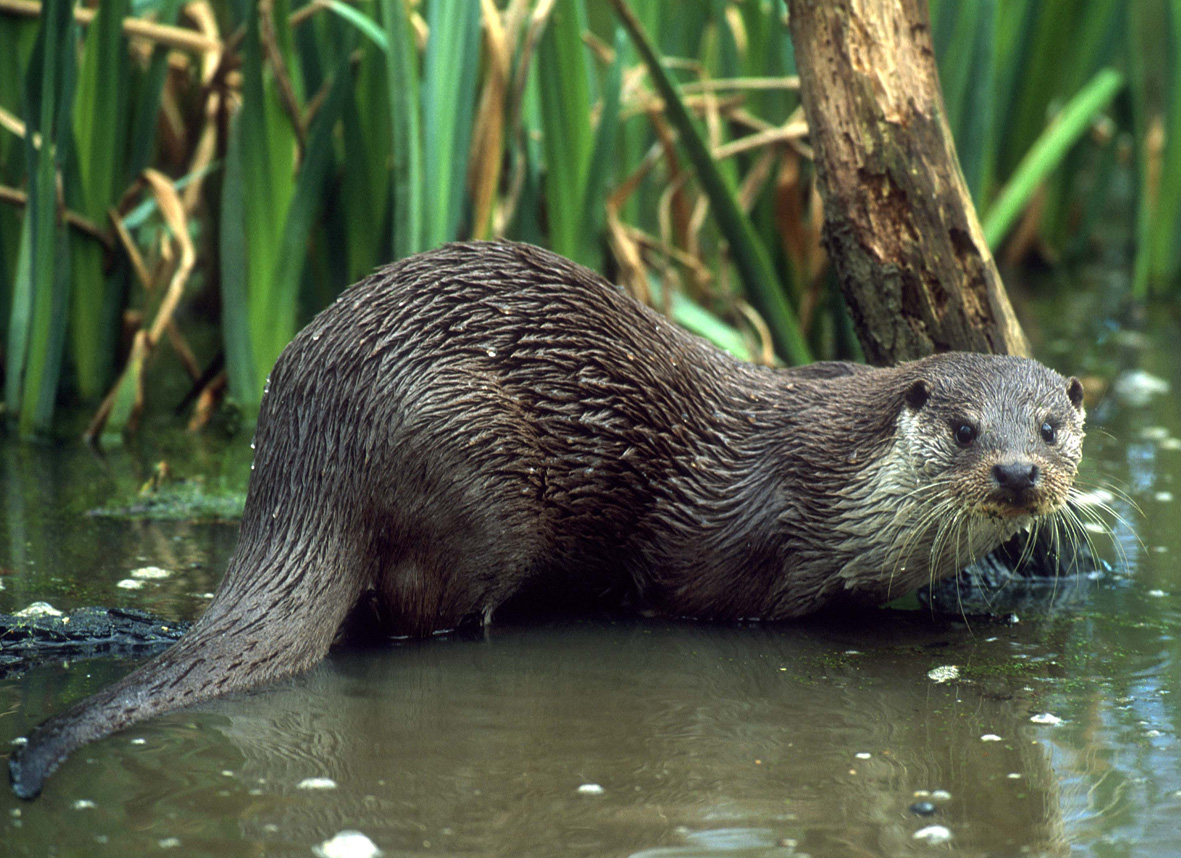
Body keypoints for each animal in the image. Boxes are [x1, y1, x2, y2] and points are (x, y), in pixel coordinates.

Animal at [4, 239, 1081, 797]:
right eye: (962, 427)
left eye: (1051, 423)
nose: (1017, 471)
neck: (835, 484)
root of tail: (305, 446)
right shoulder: (738, 547)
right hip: (465, 457)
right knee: (415, 609)